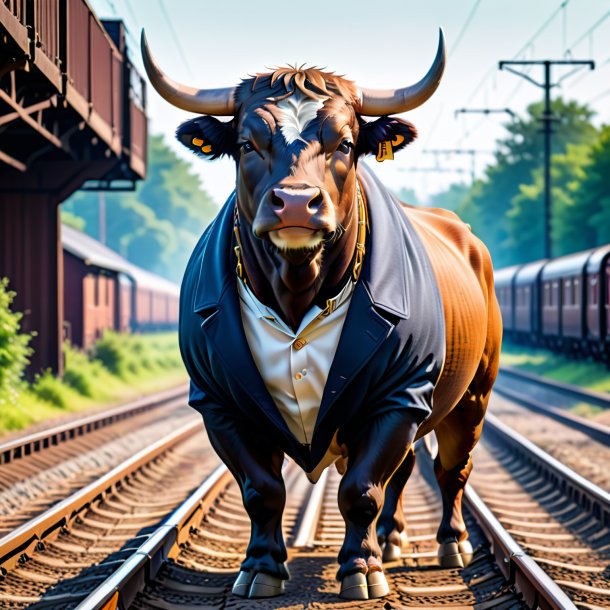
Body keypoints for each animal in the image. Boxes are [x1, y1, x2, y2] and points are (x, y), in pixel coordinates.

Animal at [141, 29, 498, 600]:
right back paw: (392, 539)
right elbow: (262, 489)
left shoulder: (398, 395)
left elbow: (362, 490)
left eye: (345, 144)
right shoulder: (220, 403)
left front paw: (360, 569)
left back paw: (450, 541)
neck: (296, 294)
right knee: (408, 469)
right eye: (247, 144)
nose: (294, 203)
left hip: (473, 394)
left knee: (451, 469)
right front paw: (261, 566)